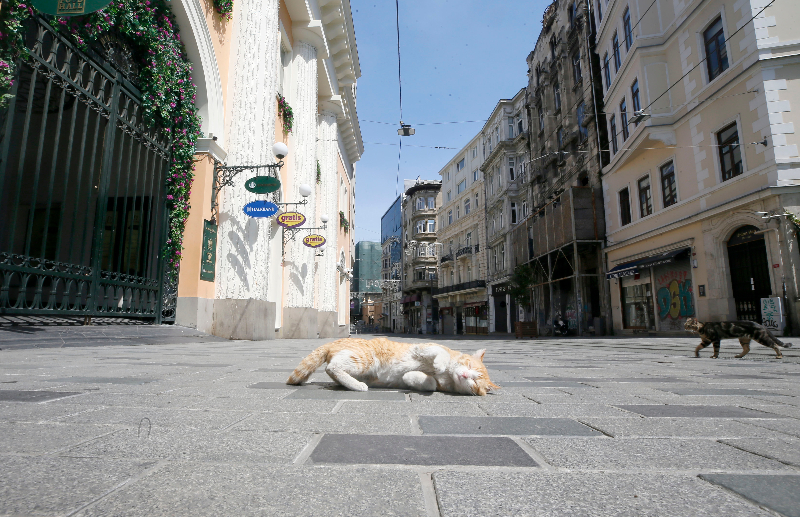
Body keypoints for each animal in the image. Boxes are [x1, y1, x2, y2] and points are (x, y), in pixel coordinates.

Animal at [286, 334, 500, 396]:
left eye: (475, 382)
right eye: (469, 367)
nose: (464, 376)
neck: (447, 376)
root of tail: (335, 341)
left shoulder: (436, 384)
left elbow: (429, 383)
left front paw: (412, 376)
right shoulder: (423, 346)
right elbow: (442, 354)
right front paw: (439, 363)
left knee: (332, 369)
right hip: (364, 359)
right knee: (332, 367)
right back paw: (358, 386)